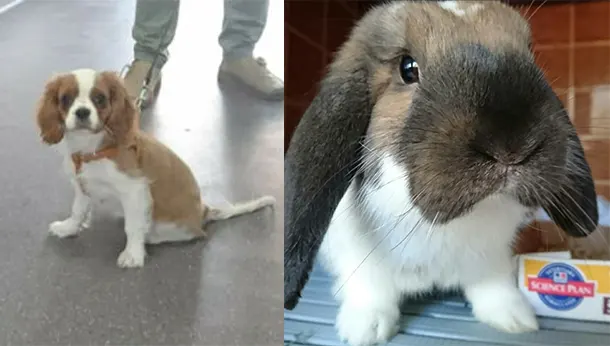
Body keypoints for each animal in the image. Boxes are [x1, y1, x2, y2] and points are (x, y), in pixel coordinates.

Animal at [36, 67, 274, 268]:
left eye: (100, 99)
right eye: (66, 99)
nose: (82, 112)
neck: (92, 149)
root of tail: (204, 211)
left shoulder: (134, 190)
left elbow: (133, 226)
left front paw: (133, 254)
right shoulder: (82, 185)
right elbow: (77, 210)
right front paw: (68, 228)